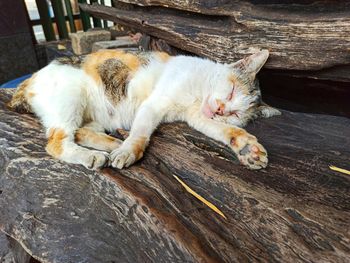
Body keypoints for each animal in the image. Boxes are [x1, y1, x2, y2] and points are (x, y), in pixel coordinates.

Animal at [9, 50, 280, 171]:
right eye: (232, 90)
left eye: (236, 114)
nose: (221, 109)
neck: (198, 95)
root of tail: (28, 81)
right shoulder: (154, 104)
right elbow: (140, 134)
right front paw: (129, 151)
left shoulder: (198, 117)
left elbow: (224, 130)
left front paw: (248, 148)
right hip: (70, 99)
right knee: (57, 142)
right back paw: (93, 156)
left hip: (94, 117)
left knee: (80, 132)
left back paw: (112, 143)